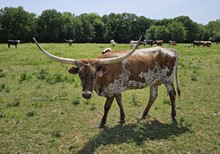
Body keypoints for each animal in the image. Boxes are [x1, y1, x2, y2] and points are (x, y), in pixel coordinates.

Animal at [33, 36, 180, 128]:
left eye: (94, 74)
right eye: (80, 74)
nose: (86, 94)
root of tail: (170, 50)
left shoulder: (111, 91)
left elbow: (107, 107)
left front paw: (103, 123)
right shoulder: (116, 90)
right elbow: (120, 102)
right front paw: (122, 117)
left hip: (168, 80)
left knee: (172, 95)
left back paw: (173, 115)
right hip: (154, 81)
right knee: (153, 96)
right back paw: (143, 115)